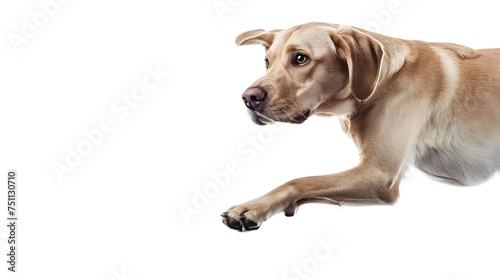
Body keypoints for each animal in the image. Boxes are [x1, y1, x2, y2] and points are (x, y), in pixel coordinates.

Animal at [222, 22, 500, 232]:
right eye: (267, 62)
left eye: (300, 58)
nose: (249, 98)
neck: (380, 82)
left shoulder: (378, 172)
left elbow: (299, 181)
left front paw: (253, 207)